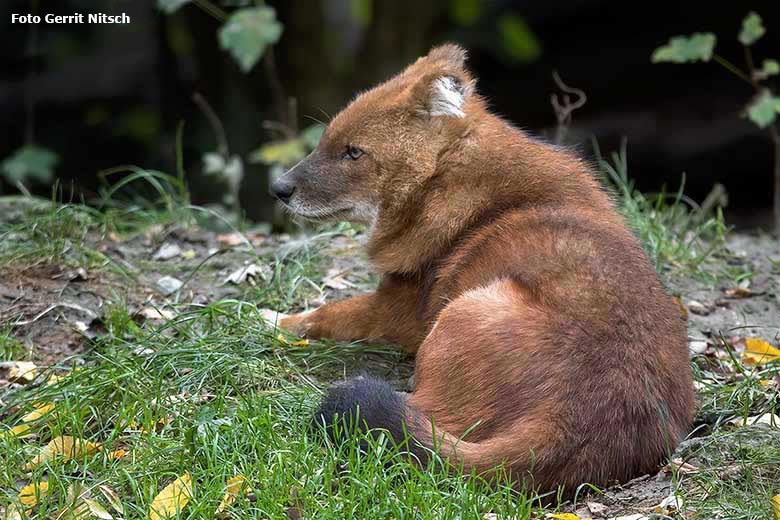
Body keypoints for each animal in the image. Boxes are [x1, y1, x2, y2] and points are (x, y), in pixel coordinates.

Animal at [268, 43, 696, 492]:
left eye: (354, 152)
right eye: (324, 141)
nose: (278, 189)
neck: (444, 177)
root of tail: (571, 425)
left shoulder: (399, 310)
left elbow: (329, 312)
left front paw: (273, 320)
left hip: (463, 311)